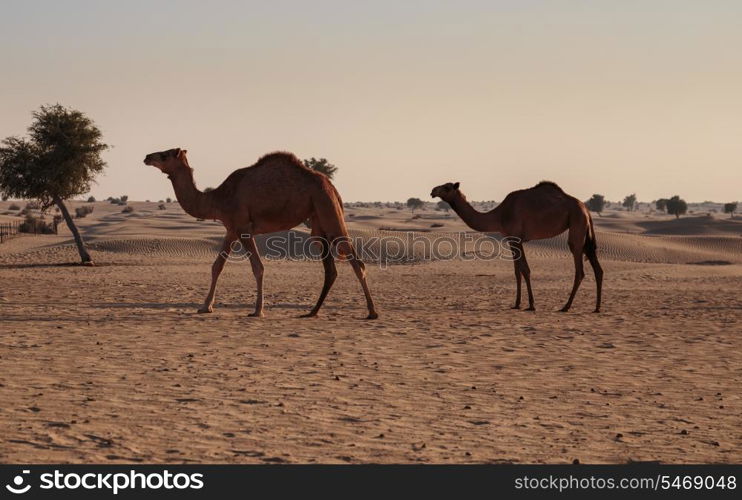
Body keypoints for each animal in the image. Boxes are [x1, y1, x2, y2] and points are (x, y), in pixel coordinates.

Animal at [143, 148, 380, 320]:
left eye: (165, 154)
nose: (147, 157)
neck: (217, 199)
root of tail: (332, 187)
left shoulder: (243, 228)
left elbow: (258, 267)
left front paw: (257, 310)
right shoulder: (231, 229)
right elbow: (217, 266)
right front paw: (205, 306)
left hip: (328, 209)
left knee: (355, 260)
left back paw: (372, 312)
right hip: (318, 221)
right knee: (330, 269)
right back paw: (312, 311)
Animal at [434, 180, 600, 312]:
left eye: (447, 187)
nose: (433, 191)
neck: (499, 214)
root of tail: (586, 209)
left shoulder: (517, 239)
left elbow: (525, 270)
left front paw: (531, 305)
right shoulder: (511, 240)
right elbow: (517, 271)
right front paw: (516, 304)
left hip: (577, 223)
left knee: (579, 268)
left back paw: (566, 306)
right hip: (583, 230)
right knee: (597, 267)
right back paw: (597, 307)